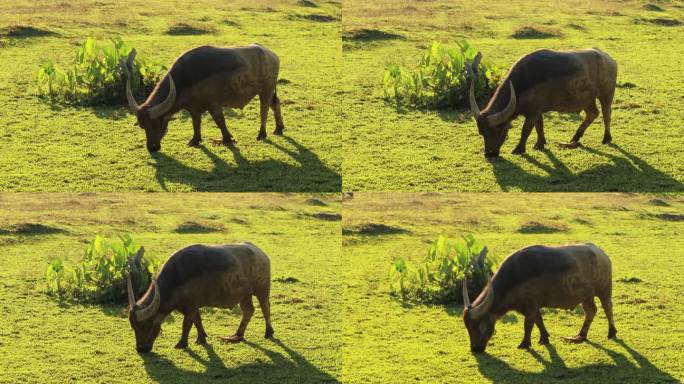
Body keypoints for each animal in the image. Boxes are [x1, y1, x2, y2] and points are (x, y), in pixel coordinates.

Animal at [121, 44, 284, 152]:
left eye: (157, 124)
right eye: (143, 126)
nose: (152, 148)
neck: (185, 79)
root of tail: (272, 55)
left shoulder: (214, 105)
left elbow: (220, 121)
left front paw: (227, 139)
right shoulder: (194, 109)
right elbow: (196, 123)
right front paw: (195, 140)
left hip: (266, 89)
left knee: (264, 110)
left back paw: (262, 134)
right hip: (269, 91)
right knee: (275, 104)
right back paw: (279, 129)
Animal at [127, 243, 272, 354]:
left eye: (147, 325)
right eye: (134, 327)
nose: (140, 349)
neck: (177, 278)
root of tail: (261, 254)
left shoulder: (190, 306)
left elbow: (186, 324)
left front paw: (181, 343)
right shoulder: (193, 306)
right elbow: (197, 321)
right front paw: (201, 339)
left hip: (262, 289)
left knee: (265, 308)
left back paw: (269, 332)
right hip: (244, 295)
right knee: (248, 311)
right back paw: (236, 336)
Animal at [462, 244, 616, 352]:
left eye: (477, 325)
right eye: (467, 327)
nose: (475, 349)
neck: (513, 279)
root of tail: (602, 254)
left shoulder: (530, 305)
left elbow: (528, 324)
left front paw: (524, 343)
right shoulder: (532, 307)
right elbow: (539, 321)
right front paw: (544, 338)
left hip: (604, 290)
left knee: (607, 308)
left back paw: (611, 332)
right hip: (586, 296)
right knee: (591, 311)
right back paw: (579, 336)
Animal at [464, 48, 620, 157]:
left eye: (498, 130)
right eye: (482, 132)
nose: (489, 154)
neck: (521, 84)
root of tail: (609, 59)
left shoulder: (532, 112)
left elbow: (526, 129)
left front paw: (519, 149)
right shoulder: (537, 111)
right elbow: (539, 126)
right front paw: (540, 144)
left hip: (606, 95)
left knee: (606, 114)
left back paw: (606, 138)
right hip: (587, 100)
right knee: (593, 113)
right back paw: (575, 137)